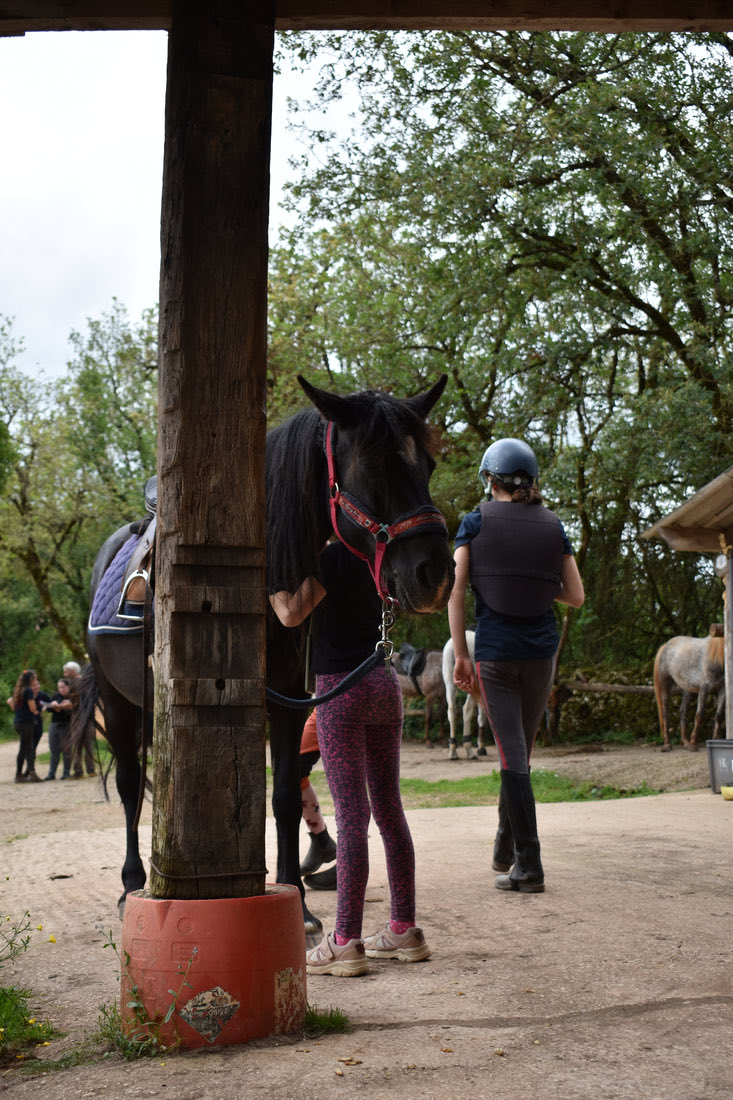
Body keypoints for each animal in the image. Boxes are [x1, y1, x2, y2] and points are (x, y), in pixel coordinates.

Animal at [72, 374, 455, 934]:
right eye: (372, 464)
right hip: (118, 705)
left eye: (426, 464)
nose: (436, 575)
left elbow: (285, 797)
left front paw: (298, 899)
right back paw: (130, 884)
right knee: (127, 785)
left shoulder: (290, 699)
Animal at [442, 631, 490, 760]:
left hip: (449, 683)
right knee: (467, 709)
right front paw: (481, 747)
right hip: (470, 685)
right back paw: (469, 749)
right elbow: (482, 716)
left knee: (451, 710)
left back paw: (453, 750)